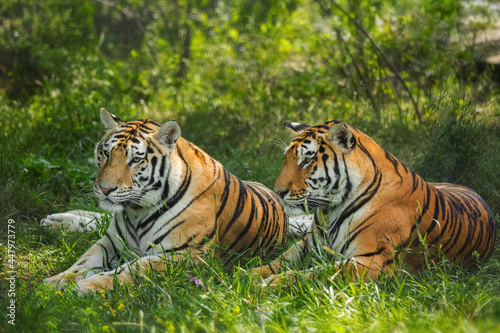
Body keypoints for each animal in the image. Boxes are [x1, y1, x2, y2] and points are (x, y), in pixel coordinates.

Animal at [43, 108, 290, 294]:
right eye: (105, 153)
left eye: (135, 160)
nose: (105, 189)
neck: (137, 211)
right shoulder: (111, 242)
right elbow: (82, 262)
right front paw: (55, 281)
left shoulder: (186, 254)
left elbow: (132, 269)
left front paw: (89, 285)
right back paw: (55, 221)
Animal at [252, 120, 498, 282]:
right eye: (286, 159)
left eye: (307, 160)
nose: (278, 191)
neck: (331, 211)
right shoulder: (309, 244)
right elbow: (279, 260)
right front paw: (250, 274)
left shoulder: (371, 261)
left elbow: (312, 274)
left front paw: (267, 285)